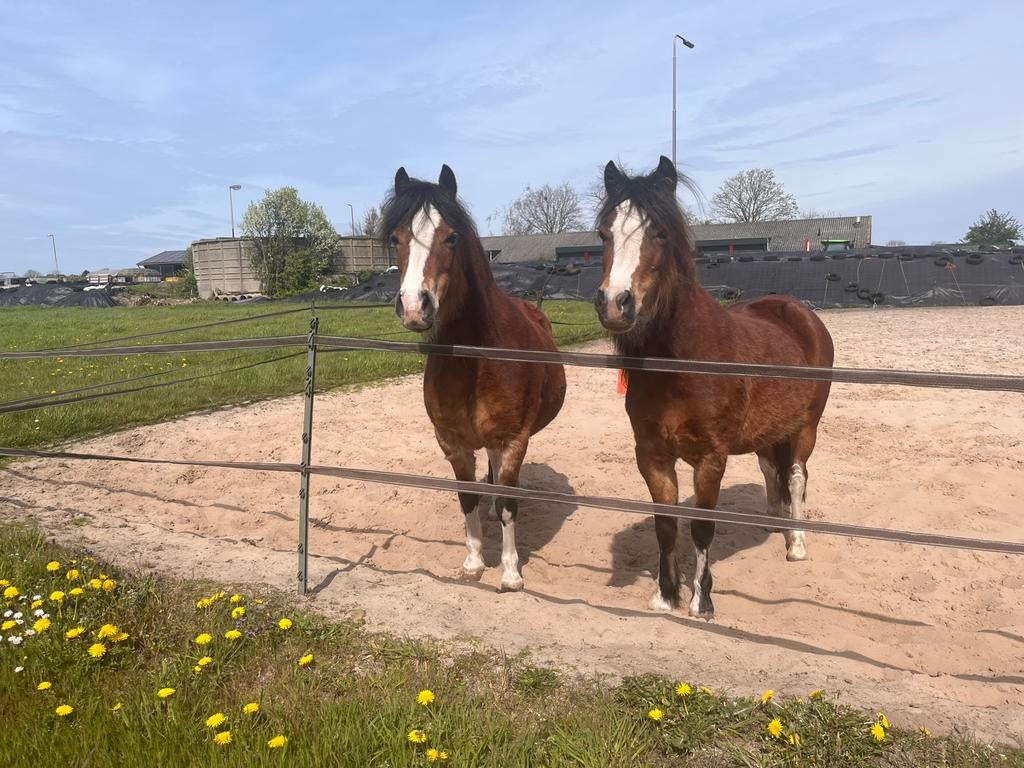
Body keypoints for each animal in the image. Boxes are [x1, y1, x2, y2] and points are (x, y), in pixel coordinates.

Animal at [380, 165, 567, 593]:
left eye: (451, 236)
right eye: (396, 238)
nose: (414, 306)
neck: (475, 362)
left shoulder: (513, 440)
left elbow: (509, 503)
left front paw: (511, 573)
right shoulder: (452, 444)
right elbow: (468, 499)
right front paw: (473, 562)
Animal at [594, 156, 834, 618]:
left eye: (660, 232)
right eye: (604, 233)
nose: (615, 303)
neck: (681, 364)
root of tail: (800, 312)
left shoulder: (711, 458)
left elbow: (702, 527)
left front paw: (700, 601)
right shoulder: (651, 454)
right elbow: (666, 523)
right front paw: (665, 594)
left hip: (805, 427)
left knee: (796, 475)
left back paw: (796, 544)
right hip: (768, 431)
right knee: (771, 469)